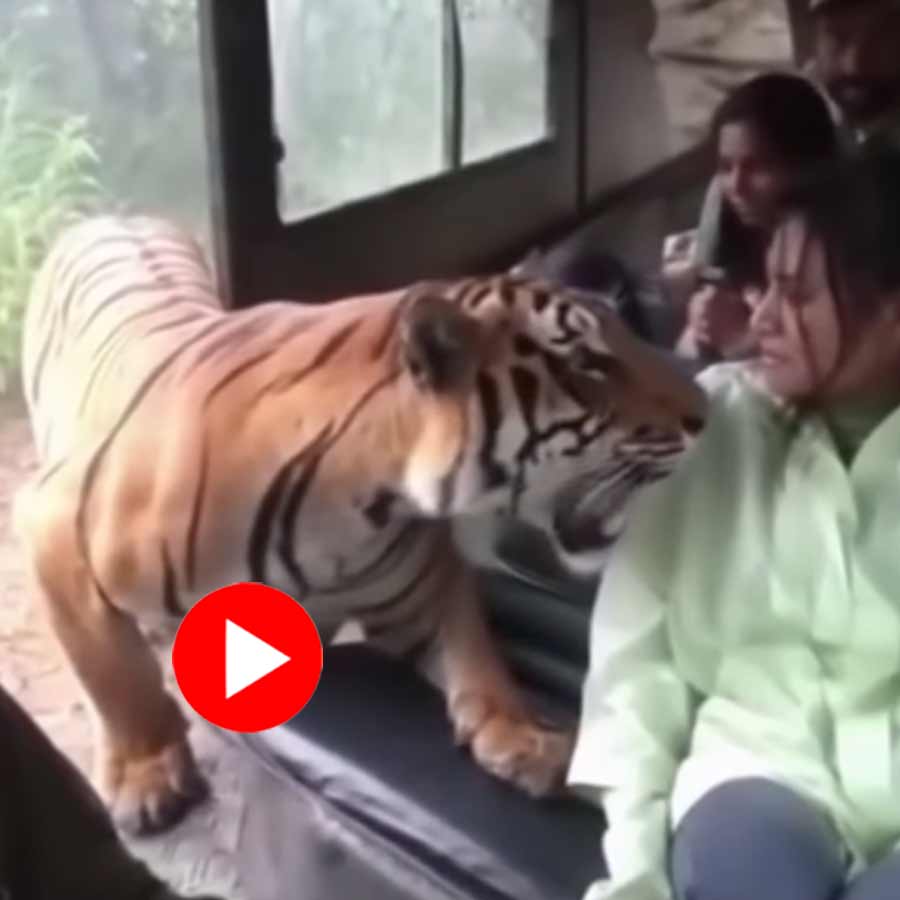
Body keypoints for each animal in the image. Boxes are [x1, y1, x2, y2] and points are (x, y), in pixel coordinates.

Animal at [13, 215, 706, 836]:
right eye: (589, 364)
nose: (704, 413)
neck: (359, 503)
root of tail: (111, 216)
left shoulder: (424, 588)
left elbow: (476, 651)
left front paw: (523, 733)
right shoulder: (54, 526)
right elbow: (114, 674)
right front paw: (147, 774)